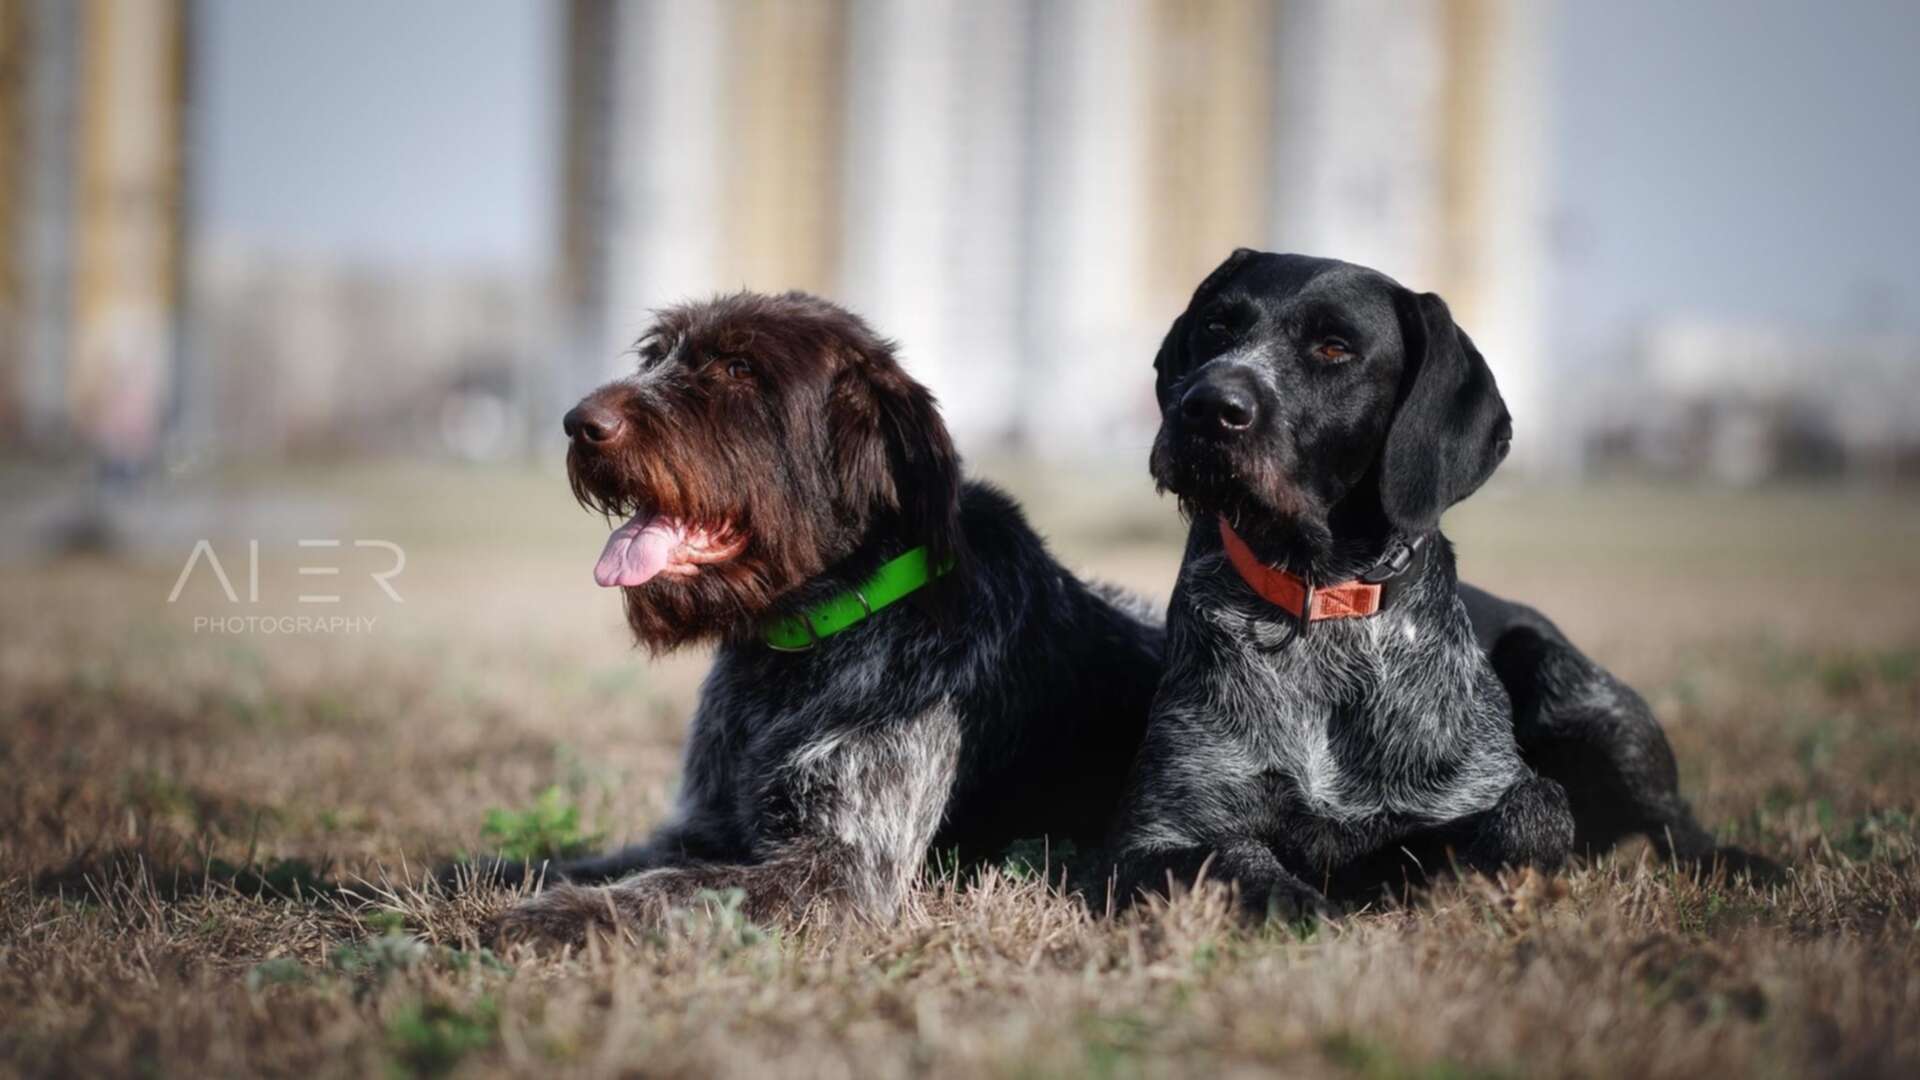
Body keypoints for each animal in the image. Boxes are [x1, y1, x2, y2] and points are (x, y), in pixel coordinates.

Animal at [487, 290, 1159, 937]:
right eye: (654, 358)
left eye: (738, 369)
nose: (579, 422)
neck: (807, 639)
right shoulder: (699, 828)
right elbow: (581, 862)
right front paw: (491, 874)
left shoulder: (841, 868)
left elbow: (669, 891)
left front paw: (555, 915)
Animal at [1113, 251, 1766, 914]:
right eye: (1217, 327)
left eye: (1333, 348)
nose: (1207, 405)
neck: (1324, 603)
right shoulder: (1157, 839)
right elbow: (1237, 862)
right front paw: (1300, 900)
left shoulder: (1480, 789)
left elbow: (1536, 811)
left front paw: (1457, 876)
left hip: (1583, 692)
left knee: (1674, 824)